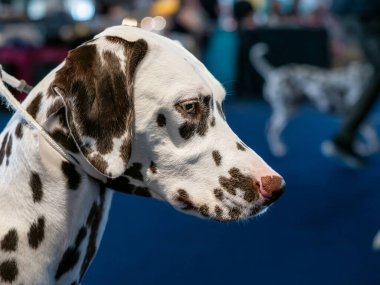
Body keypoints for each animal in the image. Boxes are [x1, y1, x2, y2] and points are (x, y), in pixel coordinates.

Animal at [249, 43, 378, 156]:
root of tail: (273, 74)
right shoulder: (354, 115)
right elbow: (365, 136)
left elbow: (370, 137)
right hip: (286, 111)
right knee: (273, 129)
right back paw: (278, 150)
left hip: (290, 111)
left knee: (269, 126)